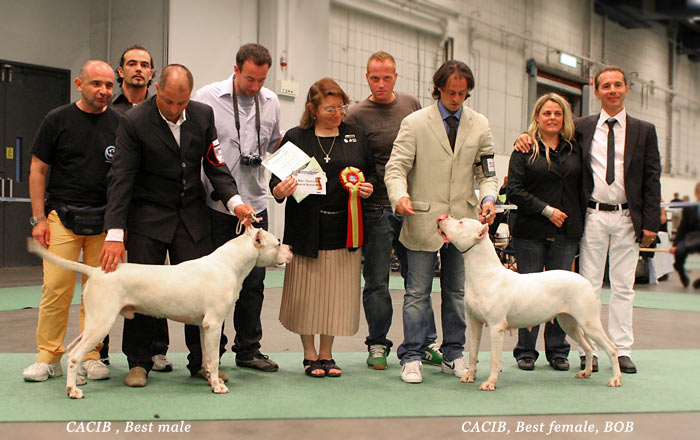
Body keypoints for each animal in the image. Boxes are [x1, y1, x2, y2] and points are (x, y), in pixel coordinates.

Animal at [27, 227, 290, 398]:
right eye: (277, 243)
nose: (290, 249)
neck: (229, 264)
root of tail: (96, 271)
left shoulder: (205, 326)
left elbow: (207, 356)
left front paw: (209, 378)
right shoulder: (214, 324)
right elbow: (214, 358)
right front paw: (218, 386)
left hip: (93, 321)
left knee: (72, 348)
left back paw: (77, 380)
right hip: (101, 321)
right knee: (74, 354)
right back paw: (73, 390)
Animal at [434, 215, 620, 390]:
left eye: (461, 223)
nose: (442, 217)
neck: (484, 273)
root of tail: (584, 280)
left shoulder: (496, 327)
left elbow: (495, 358)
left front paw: (491, 383)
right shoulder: (474, 323)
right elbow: (473, 352)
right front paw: (469, 376)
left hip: (588, 321)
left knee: (611, 348)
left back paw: (616, 379)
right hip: (569, 322)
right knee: (588, 346)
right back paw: (586, 372)